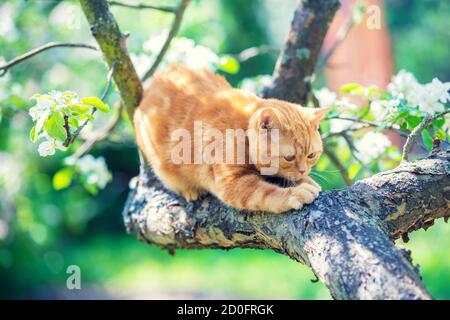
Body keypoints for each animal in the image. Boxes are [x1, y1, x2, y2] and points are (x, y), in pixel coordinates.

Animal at [134, 64, 326, 212]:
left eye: (311, 155)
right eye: (289, 157)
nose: (303, 171)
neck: (244, 127)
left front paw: (307, 180)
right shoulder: (232, 182)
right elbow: (267, 193)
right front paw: (296, 192)